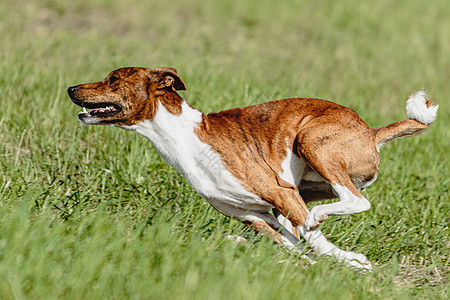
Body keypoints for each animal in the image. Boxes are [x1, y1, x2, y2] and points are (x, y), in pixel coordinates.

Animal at [68, 67, 438, 270]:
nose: (71, 88)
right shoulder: (254, 215)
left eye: (113, 79)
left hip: (310, 143)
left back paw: (322, 222)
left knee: (351, 203)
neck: (184, 137)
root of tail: (371, 132)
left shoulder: (279, 192)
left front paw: (349, 262)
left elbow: (313, 239)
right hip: (302, 189)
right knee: (302, 226)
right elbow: (293, 244)